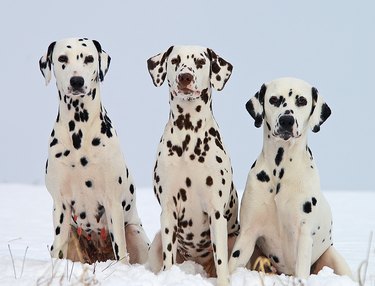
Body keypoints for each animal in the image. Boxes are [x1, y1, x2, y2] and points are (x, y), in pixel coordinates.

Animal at [38, 37, 150, 264]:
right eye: (62, 59)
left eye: (89, 58)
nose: (77, 81)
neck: (79, 135)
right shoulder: (60, 205)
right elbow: (58, 249)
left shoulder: (113, 203)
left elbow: (121, 251)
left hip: (134, 231)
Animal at [147, 45, 241, 286]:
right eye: (175, 61)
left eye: (200, 62)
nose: (185, 77)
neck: (188, 135)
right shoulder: (168, 210)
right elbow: (168, 257)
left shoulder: (216, 212)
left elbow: (221, 262)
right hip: (157, 241)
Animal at [228, 77, 354, 278]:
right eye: (273, 100)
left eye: (302, 100)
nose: (286, 120)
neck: (281, 170)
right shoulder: (247, 234)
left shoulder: (303, 235)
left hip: (333, 259)